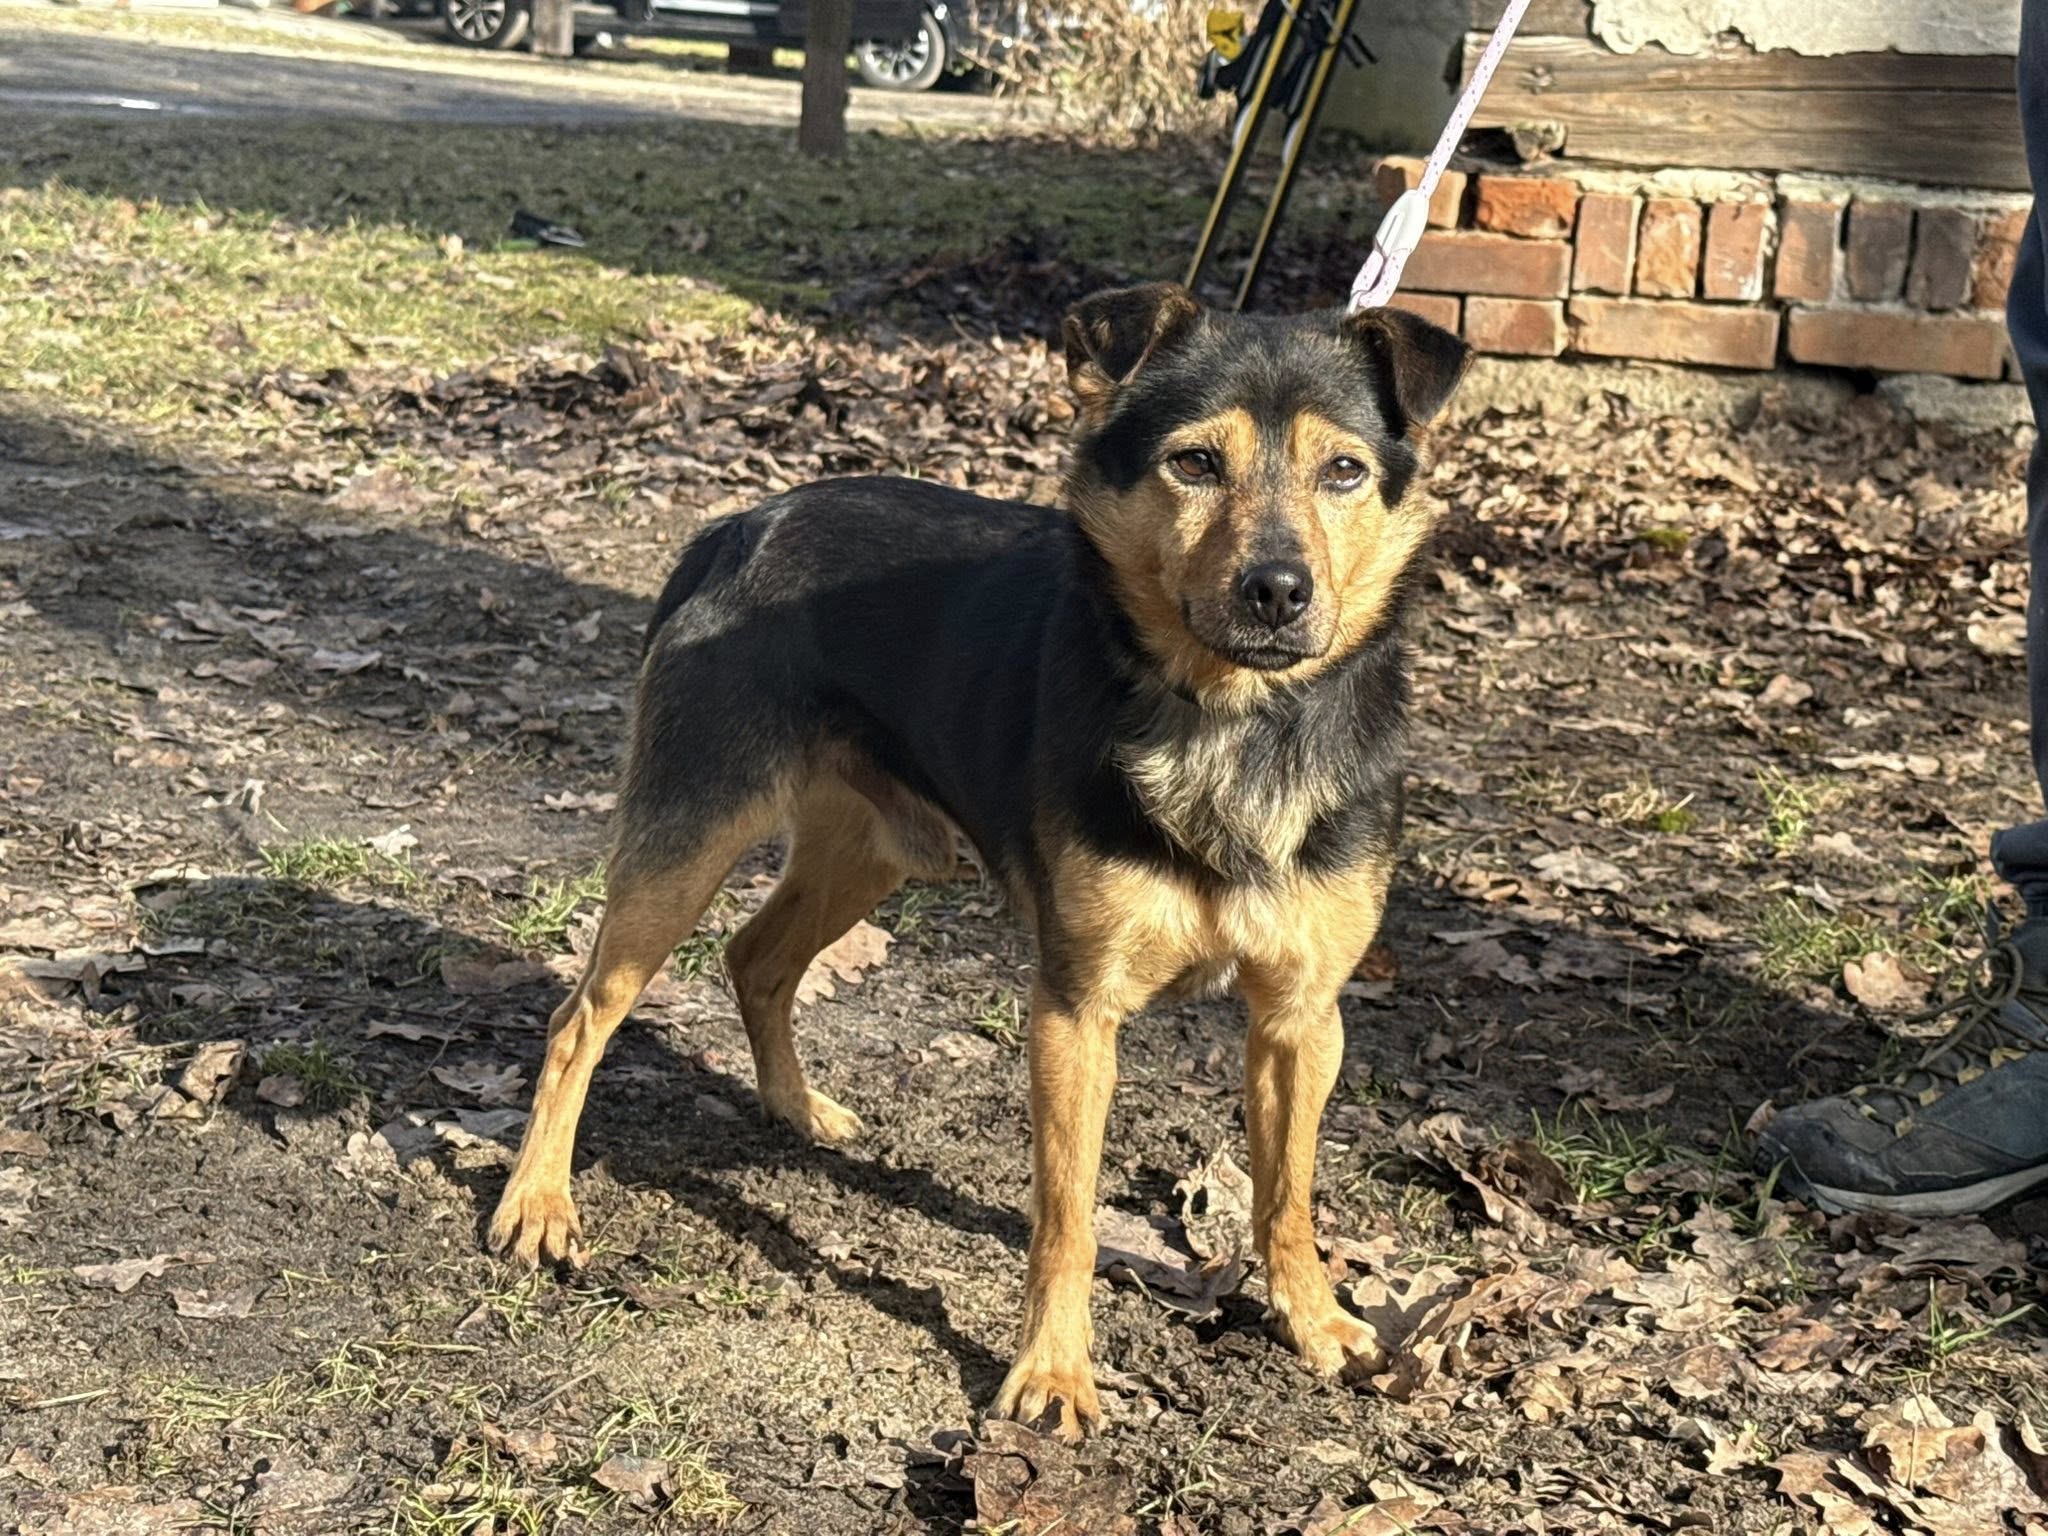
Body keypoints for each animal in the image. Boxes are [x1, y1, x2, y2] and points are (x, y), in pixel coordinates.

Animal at [487, 282, 1469, 1439]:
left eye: (1344, 471)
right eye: (1194, 463)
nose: (1277, 589)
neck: (1233, 719)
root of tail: (738, 526)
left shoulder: (1301, 1017)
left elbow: (1287, 1195)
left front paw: (1312, 1321)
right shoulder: (1075, 1009)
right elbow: (1067, 1216)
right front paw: (1053, 1373)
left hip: (874, 851)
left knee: (756, 958)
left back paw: (796, 1108)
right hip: (690, 834)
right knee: (579, 1018)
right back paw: (536, 1204)